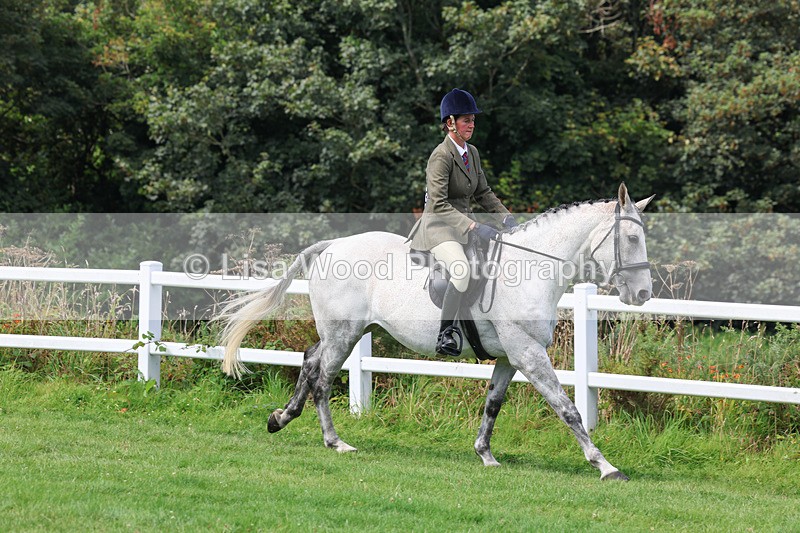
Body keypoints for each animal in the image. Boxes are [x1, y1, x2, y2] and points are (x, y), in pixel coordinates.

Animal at [217, 183, 654, 480]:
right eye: (632, 238)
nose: (643, 295)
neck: (531, 270)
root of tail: (331, 246)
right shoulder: (528, 352)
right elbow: (568, 409)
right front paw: (605, 466)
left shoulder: (510, 357)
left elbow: (493, 404)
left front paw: (485, 454)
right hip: (343, 334)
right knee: (323, 379)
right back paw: (335, 441)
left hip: (348, 332)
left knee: (310, 361)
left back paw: (280, 417)